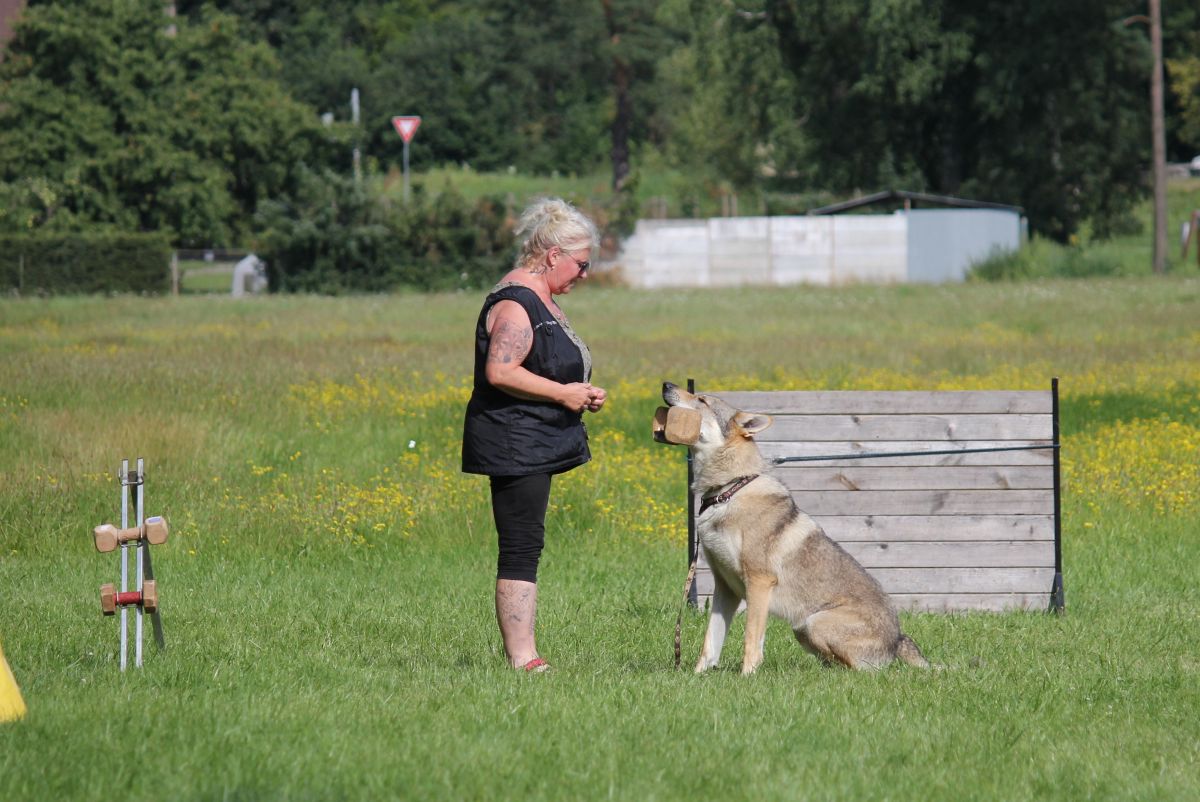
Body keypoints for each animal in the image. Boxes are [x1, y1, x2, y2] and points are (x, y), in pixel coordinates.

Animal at [667, 381, 926, 677]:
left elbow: (751, 639)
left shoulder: (759, 582)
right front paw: (696, 677)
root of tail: (898, 640)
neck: (728, 490)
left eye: (701, 400)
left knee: (857, 670)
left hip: (813, 623)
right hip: (803, 630)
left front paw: (747, 677)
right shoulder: (725, 588)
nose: (666, 385)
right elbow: (711, 642)